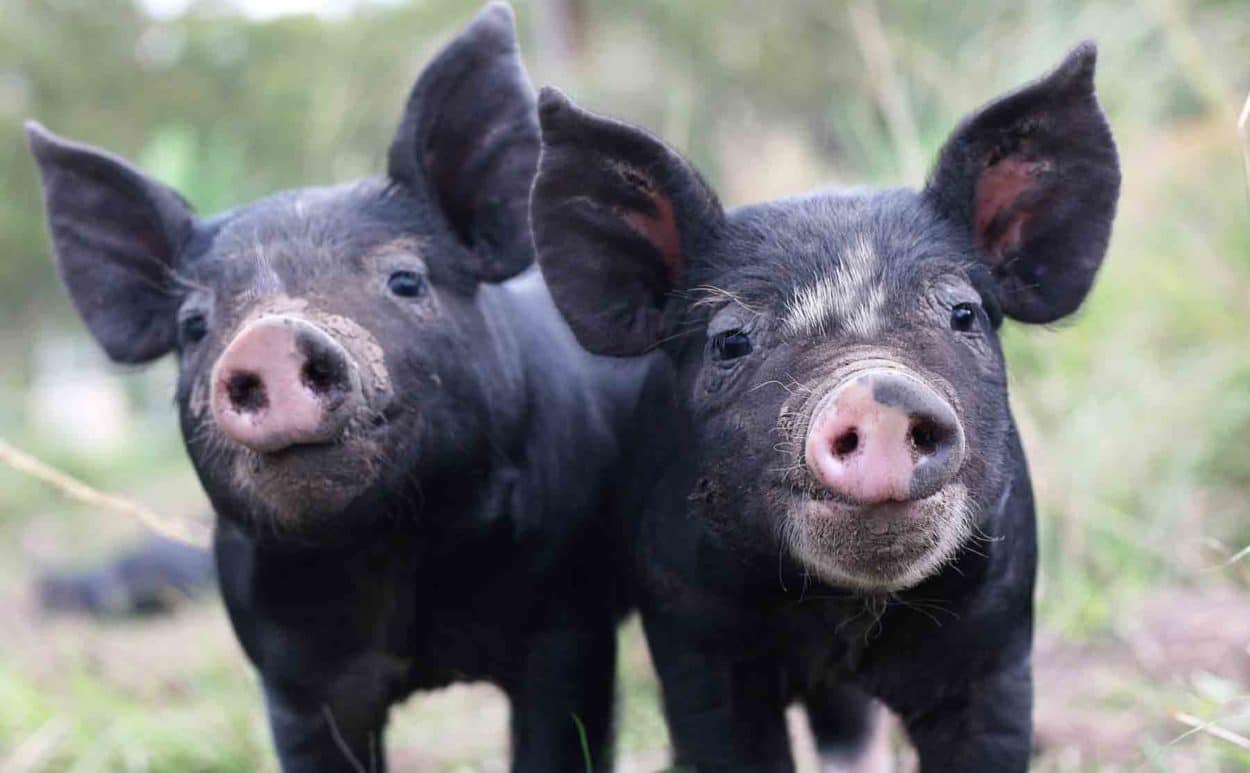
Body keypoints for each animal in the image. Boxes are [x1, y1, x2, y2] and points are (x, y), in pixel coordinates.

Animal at [26, 4, 660, 770]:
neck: (395, 552)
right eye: (194, 325)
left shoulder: (567, 625)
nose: (267, 335)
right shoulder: (294, 679)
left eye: (405, 279)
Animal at [530, 43, 1119, 771]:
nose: (879, 391)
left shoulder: (1000, 636)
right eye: (730, 341)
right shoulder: (691, 640)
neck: (844, 620)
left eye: (964, 314)